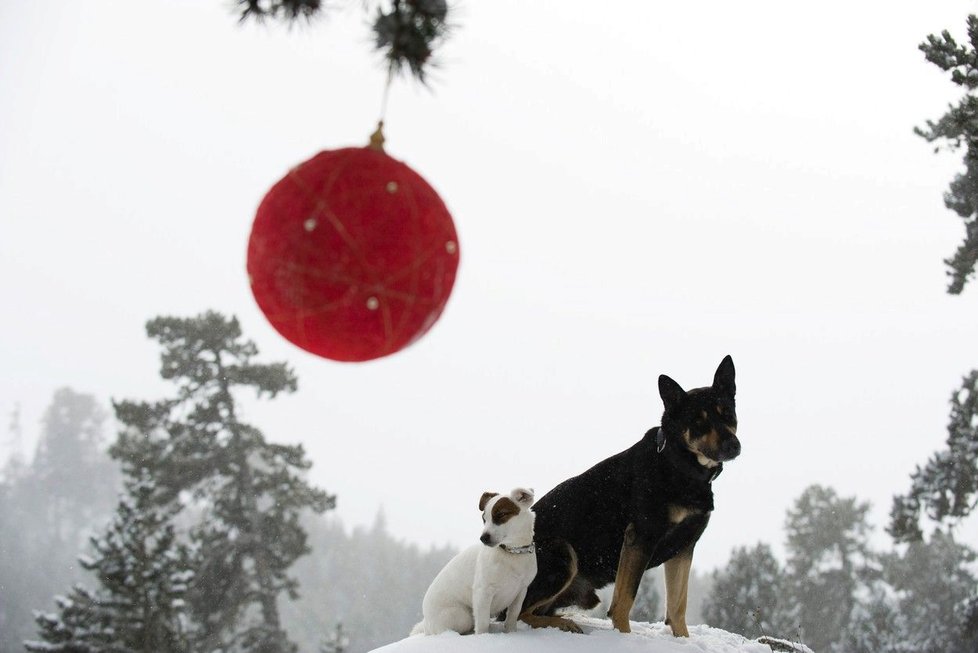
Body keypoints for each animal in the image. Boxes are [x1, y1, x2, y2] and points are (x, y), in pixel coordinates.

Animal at [410, 486, 536, 636]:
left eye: (501, 515)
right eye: (484, 519)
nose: (483, 538)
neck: (512, 553)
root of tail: (426, 623)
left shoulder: (521, 590)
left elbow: (513, 615)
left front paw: (511, 632)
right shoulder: (483, 592)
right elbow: (482, 622)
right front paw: (483, 637)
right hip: (462, 616)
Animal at [520, 354, 740, 636]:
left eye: (728, 414)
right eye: (699, 422)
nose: (733, 446)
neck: (678, 464)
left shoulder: (684, 546)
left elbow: (677, 606)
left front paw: (682, 639)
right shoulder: (640, 538)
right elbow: (624, 602)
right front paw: (623, 636)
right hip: (563, 554)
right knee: (519, 614)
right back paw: (563, 624)